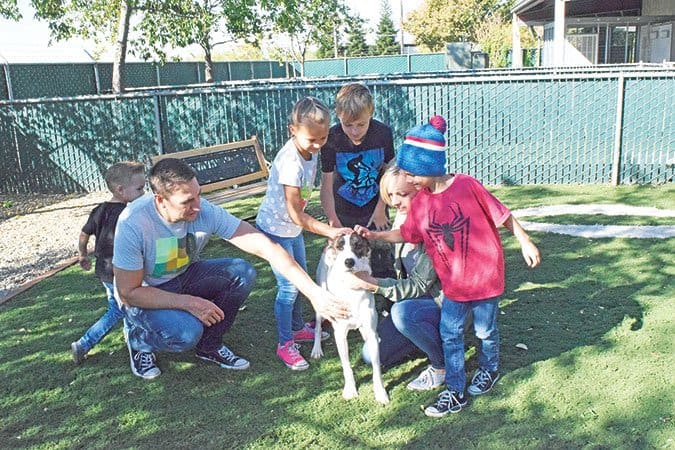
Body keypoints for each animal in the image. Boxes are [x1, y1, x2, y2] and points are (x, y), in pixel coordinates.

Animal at [312, 232, 390, 404]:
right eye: (340, 247)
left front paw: (380, 392)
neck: (351, 290)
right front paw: (350, 389)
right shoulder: (340, 335)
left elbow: (376, 365)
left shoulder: (371, 331)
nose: (349, 261)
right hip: (321, 301)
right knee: (317, 327)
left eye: (358, 245)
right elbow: (346, 365)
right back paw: (316, 349)